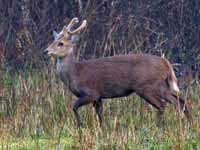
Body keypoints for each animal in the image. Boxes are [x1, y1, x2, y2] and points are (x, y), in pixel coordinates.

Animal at [45, 17, 192, 127]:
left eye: (61, 43)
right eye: (53, 40)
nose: (46, 50)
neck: (75, 73)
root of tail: (166, 63)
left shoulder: (91, 92)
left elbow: (74, 107)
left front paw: (81, 126)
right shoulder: (98, 97)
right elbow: (100, 115)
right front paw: (102, 129)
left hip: (147, 86)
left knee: (162, 105)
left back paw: (160, 127)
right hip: (162, 86)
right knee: (180, 101)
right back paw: (189, 124)